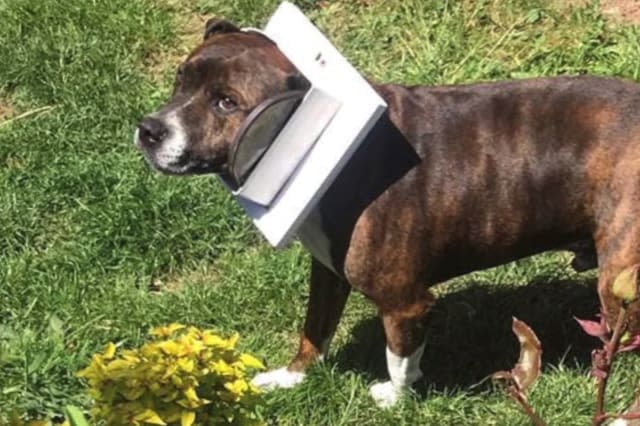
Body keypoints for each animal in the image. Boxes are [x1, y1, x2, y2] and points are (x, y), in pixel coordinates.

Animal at [136, 19, 640, 406]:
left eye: (226, 103)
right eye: (180, 80)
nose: (149, 129)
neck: (330, 148)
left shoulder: (405, 303)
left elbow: (398, 357)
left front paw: (395, 398)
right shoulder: (327, 274)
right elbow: (313, 329)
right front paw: (292, 376)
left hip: (618, 281)